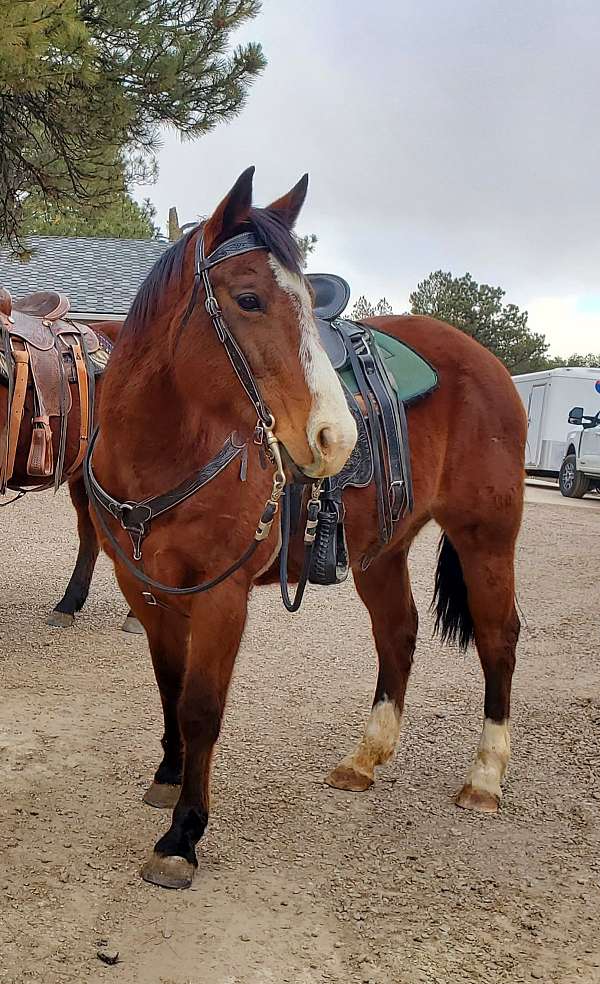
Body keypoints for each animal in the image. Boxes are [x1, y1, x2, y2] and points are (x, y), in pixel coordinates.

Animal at [88, 169, 524, 892]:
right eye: (248, 298)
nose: (336, 437)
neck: (161, 450)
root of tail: (488, 362)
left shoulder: (221, 594)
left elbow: (201, 703)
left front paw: (183, 834)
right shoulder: (145, 588)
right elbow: (168, 685)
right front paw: (168, 776)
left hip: (486, 536)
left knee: (497, 638)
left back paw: (485, 776)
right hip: (382, 551)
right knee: (398, 632)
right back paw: (364, 757)